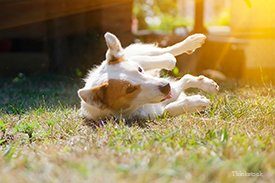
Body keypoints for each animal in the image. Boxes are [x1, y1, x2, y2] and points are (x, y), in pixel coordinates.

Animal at [78, 32, 220, 121]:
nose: (166, 86)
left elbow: (183, 76)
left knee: (167, 53)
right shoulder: (157, 109)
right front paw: (196, 102)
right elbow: (169, 108)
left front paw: (206, 85)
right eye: (129, 89)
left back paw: (190, 43)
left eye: (139, 70)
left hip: (143, 55)